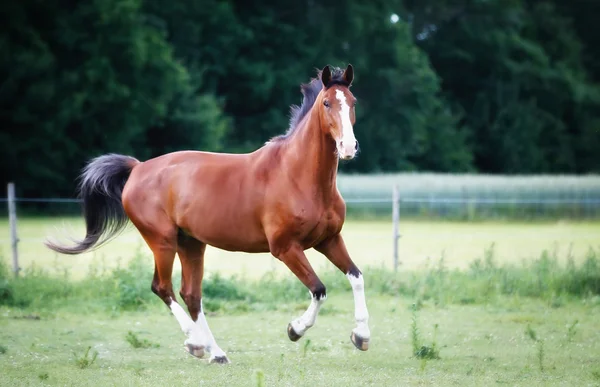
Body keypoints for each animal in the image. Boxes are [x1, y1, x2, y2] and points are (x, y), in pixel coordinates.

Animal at [48, 63, 370, 364]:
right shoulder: (285, 248)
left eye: (353, 101)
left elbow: (356, 276)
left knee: (191, 294)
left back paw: (216, 352)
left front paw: (361, 336)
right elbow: (319, 289)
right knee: (162, 287)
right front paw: (295, 329)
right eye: (326, 103)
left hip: (191, 244)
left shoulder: (329, 240)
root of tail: (137, 168)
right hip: (162, 242)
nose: (348, 146)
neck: (298, 176)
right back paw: (196, 343)